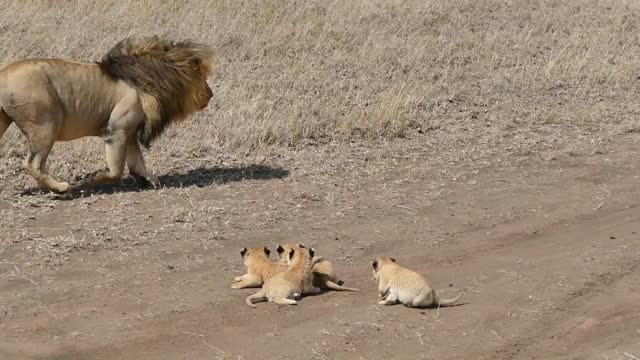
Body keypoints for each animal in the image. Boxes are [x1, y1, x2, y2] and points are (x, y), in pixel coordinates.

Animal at [0, 35, 215, 194]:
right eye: (202, 77)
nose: (211, 94)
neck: (148, 80)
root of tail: (3, 75)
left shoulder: (130, 132)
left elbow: (137, 162)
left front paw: (148, 180)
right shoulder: (117, 130)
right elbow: (116, 170)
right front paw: (88, 180)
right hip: (46, 125)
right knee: (32, 163)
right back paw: (61, 188)